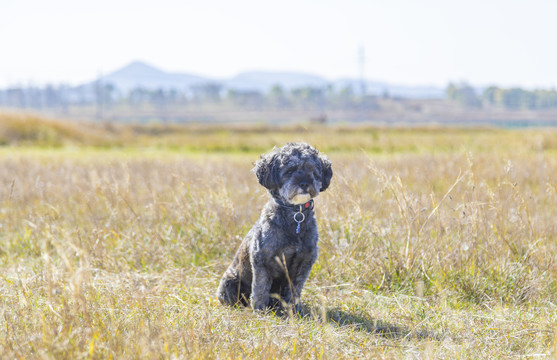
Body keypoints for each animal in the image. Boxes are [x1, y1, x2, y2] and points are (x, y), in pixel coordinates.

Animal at [216, 142, 330, 314]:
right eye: (289, 171)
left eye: (312, 170)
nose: (304, 183)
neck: (295, 215)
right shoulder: (262, 261)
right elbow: (260, 288)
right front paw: (259, 310)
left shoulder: (304, 262)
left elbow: (295, 290)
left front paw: (295, 310)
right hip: (230, 282)